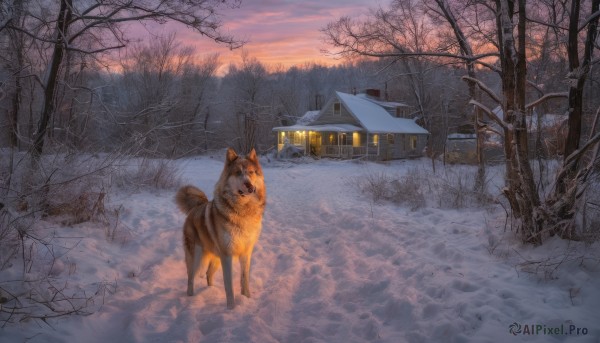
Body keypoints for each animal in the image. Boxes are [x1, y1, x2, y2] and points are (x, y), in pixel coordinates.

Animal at [175, 148, 266, 310]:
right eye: (238, 173)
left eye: (251, 172)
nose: (250, 186)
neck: (243, 210)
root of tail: (195, 208)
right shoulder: (227, 256)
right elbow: (229, 286)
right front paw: (231, 308)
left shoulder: (246, 253)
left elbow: (244, 280)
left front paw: (247, 299)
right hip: (197, 256)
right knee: (190, 278)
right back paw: (191, 298)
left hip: (216, 257)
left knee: (208, 274)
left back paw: (211, 291)